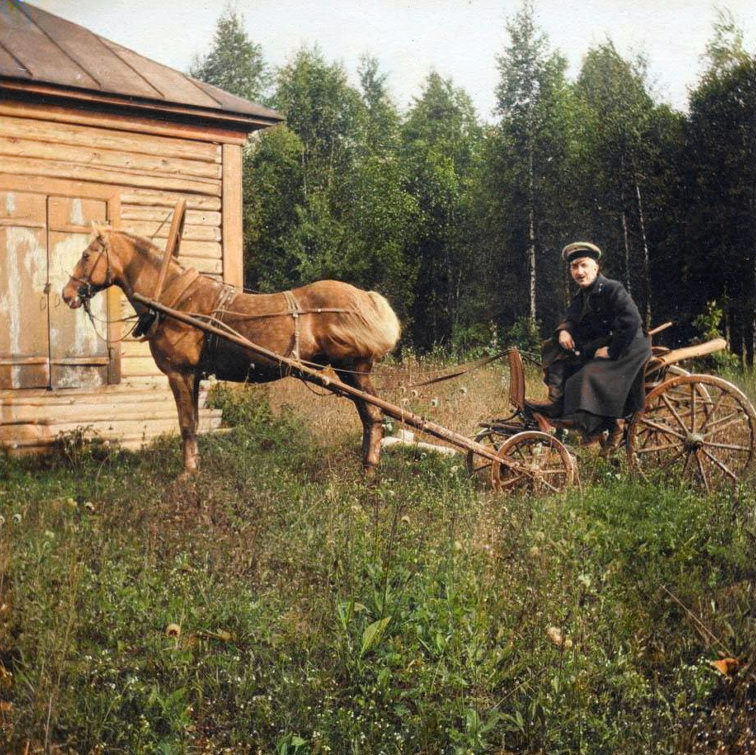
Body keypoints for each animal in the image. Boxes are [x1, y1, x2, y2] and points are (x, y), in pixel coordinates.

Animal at [62, 224, 402, 476]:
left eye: (86, 254)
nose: (67, 294)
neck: (174, 300)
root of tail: (364, 298)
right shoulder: (194, 375)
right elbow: (194, 423)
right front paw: (195, 468)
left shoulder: (179, 373)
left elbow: (186, 424)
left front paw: (186, 474)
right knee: (370, 417)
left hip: (354, 370)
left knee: (373, 415)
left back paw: (369, 470)